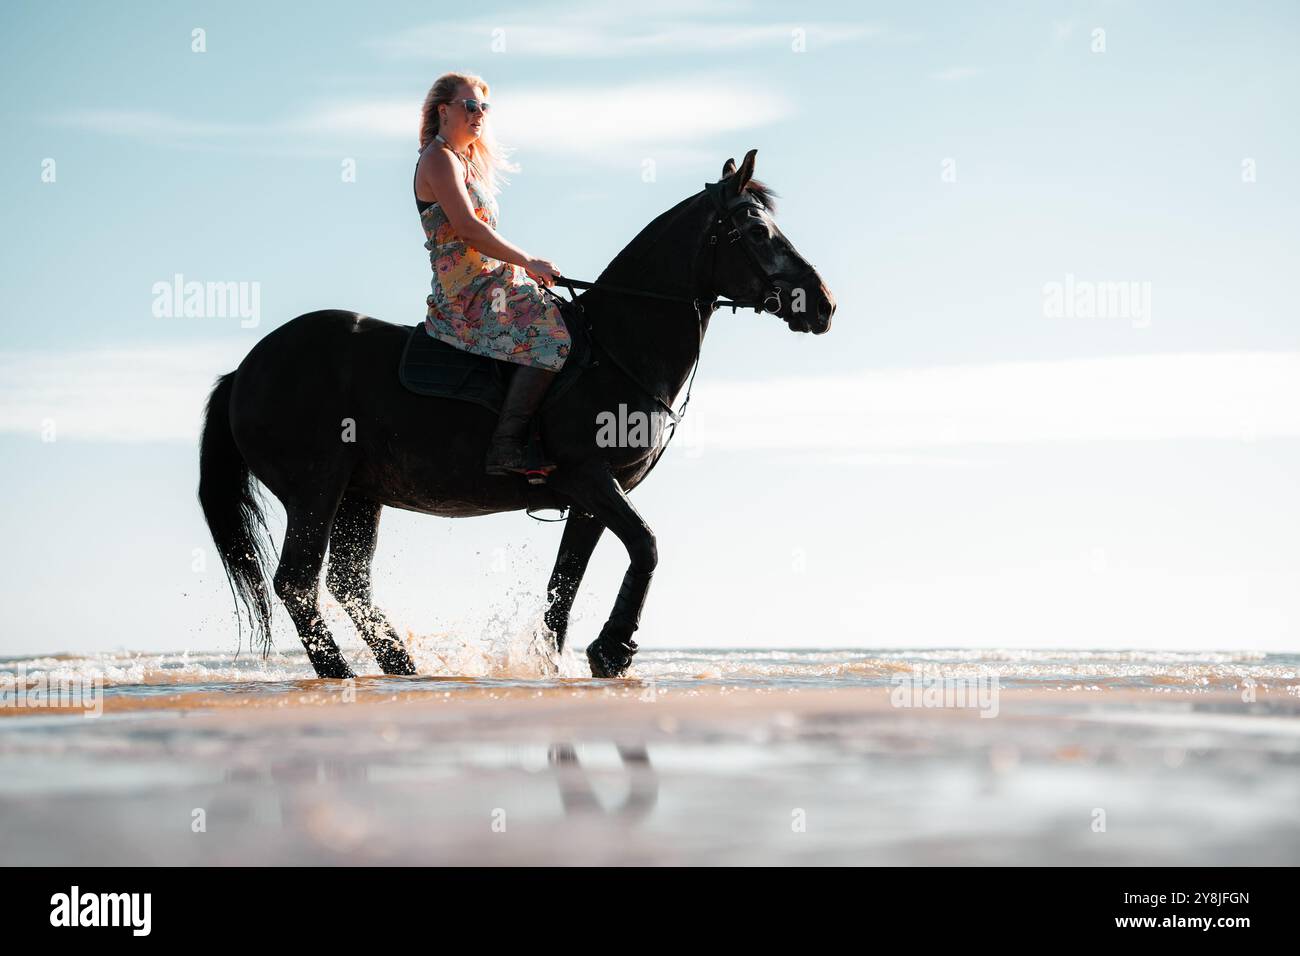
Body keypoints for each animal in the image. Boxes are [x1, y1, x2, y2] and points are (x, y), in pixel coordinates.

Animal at [197, 149, 835, 680]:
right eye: (758, 230)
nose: (823, 304)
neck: (615, 347)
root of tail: (245, 371)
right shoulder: (590, 477)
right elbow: (648, 547)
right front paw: (613, 650)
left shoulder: (591, 499)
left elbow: (564, 589)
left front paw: (557, 664)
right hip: (316, 488)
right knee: (298, 582)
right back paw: (343, 674)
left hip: (359, 494)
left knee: (347, 585)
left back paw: (404, 668)